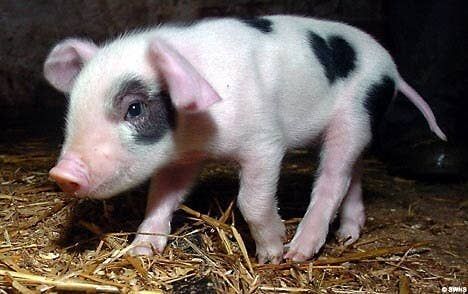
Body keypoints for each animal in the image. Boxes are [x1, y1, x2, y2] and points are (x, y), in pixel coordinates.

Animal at [44, 16, 446, 262]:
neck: (200, 133)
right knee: (353, 172)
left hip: (355, 115)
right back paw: (347, 235)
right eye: (74, 102)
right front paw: (141, 250)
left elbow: (251, 200)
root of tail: (393, 69)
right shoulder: (181, 157)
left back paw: (298, 251)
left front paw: (270, 253)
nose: (61, 174)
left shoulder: (264, 143)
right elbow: (162, 196)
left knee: (333, 177)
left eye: (134, 108)